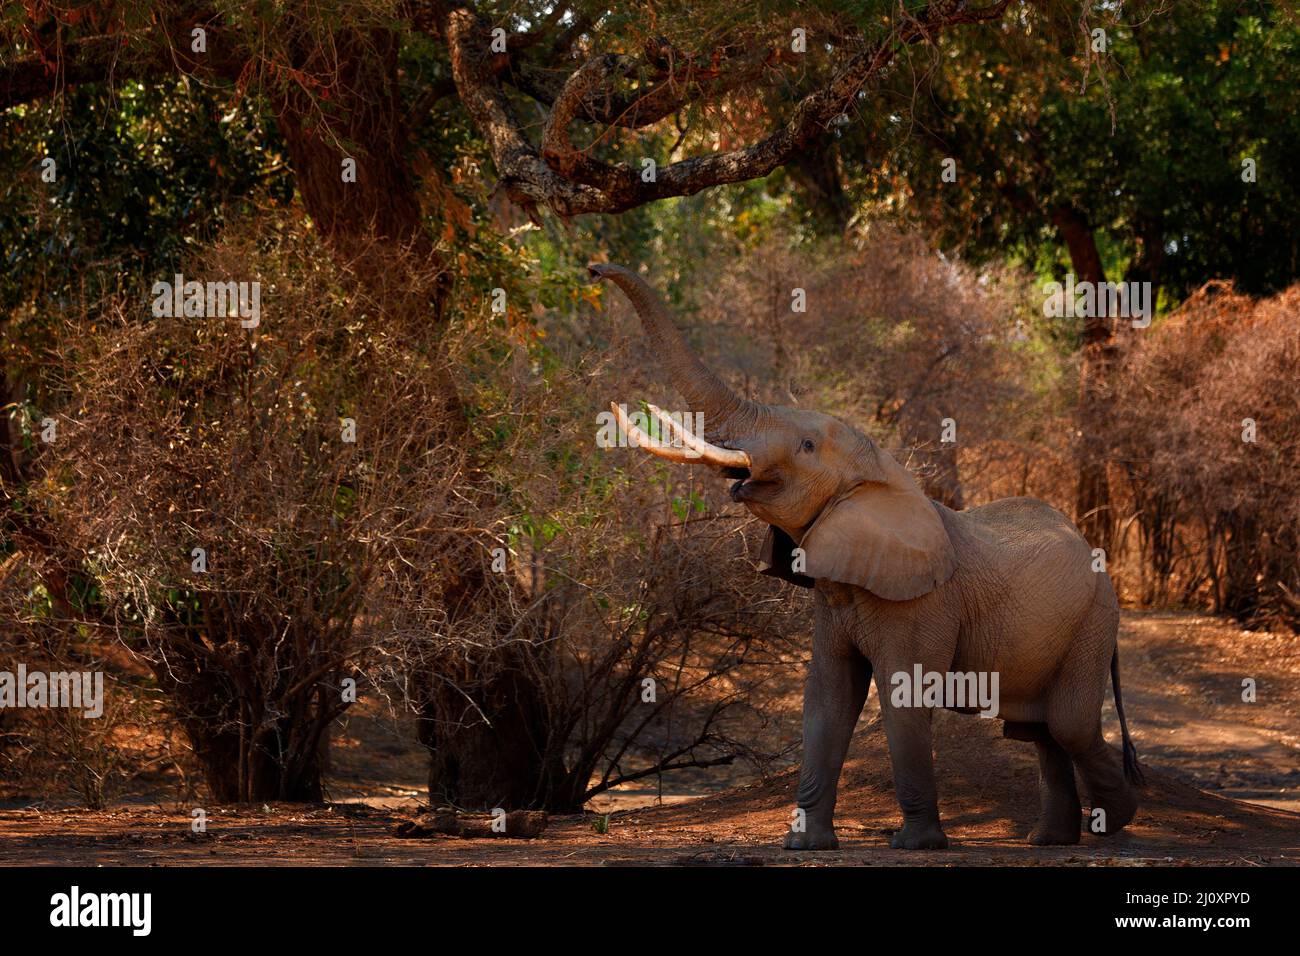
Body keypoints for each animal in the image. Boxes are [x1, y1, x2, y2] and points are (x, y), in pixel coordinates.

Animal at [588, 262, 1144, 850]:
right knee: (1035, 729)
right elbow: (828, 699)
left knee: (1067, 724)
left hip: (1094, 622)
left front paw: (916, 846)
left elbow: (902, 698)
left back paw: (1116, 820)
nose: (596, 268)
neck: (880, 474)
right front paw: (805, 845)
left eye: (807, 447)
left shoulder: (924, 603)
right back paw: (1050, 839)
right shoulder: (836, 596)